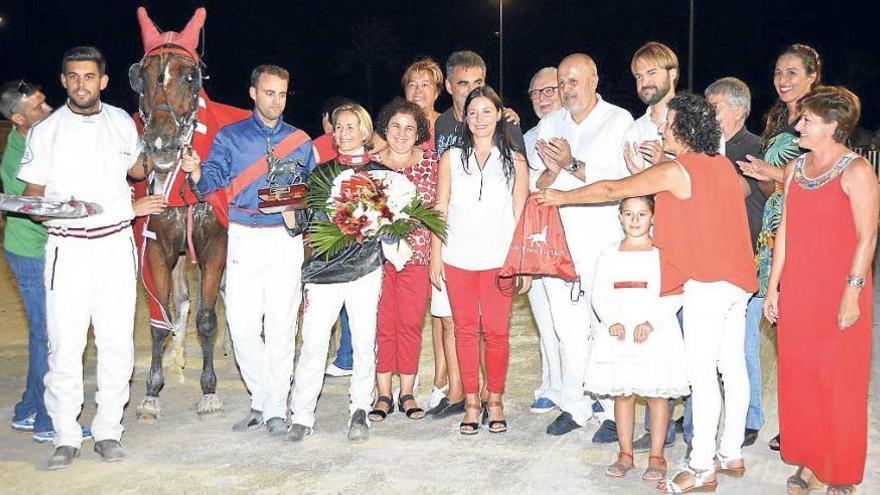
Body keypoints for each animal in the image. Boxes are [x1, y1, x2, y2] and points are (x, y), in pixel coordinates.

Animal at [130, 5, 248, 420]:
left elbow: (207, 318)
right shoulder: (158, 248)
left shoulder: (215, 247)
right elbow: (160, 318)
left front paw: (209, 391)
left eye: (189, 75)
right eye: (142, 76)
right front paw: (152, 391)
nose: (160, 145)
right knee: (181, 300)